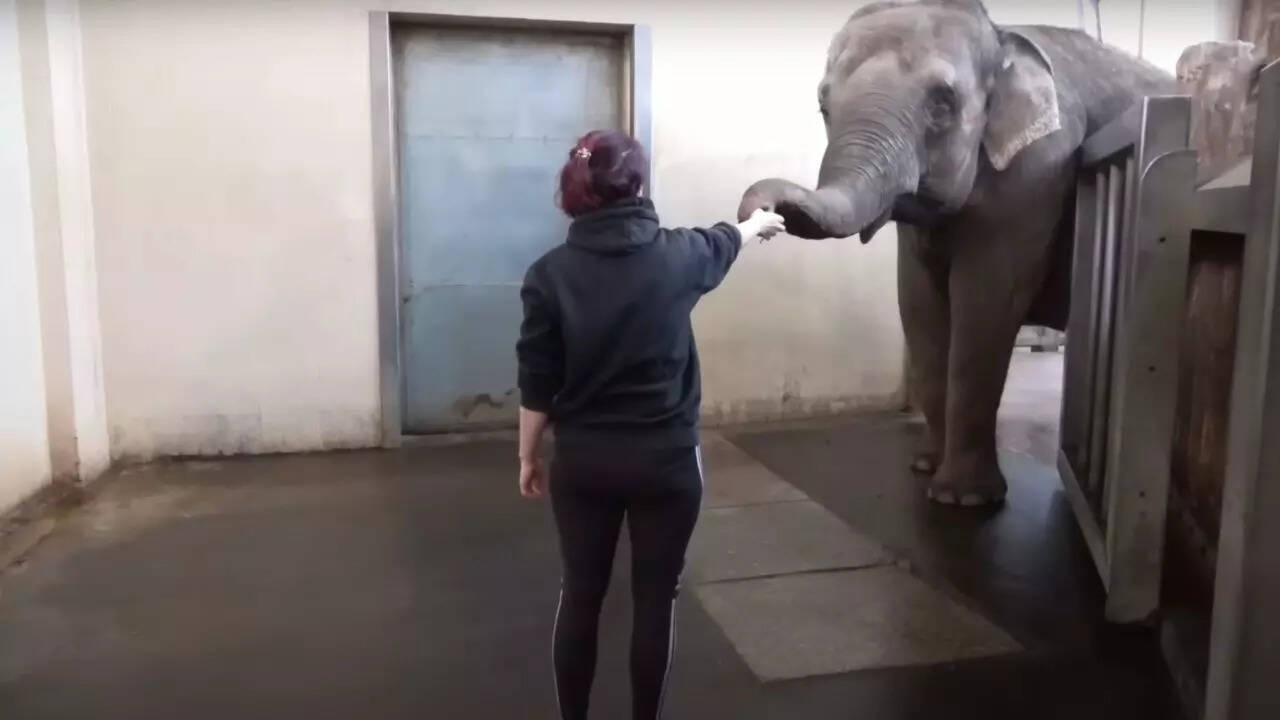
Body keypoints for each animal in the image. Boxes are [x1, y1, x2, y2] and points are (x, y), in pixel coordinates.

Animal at [742, 0, 1177, 504]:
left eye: (941, 104)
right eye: (823, 105)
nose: (762, 211)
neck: (1001, 36)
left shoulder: (1039, 173)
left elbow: (985, 305)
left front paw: (962, 498)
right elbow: (918, 305)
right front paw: (924, 468)